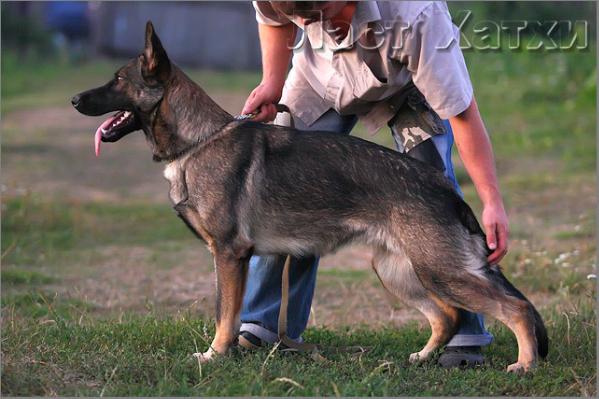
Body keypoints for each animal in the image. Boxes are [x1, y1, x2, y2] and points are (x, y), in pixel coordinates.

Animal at [71, 21, 548, 372]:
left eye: (117, 80)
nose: (74, 98)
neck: (197, 140)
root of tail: (445, 186)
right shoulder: (233, 256)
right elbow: (231, 312)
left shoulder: (228, 255)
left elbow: (224, 314)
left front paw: (215, 355)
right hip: (398, 271)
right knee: (446, 316)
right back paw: (424, 357)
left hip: (440, 270)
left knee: (515, 308)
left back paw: (524, 365)